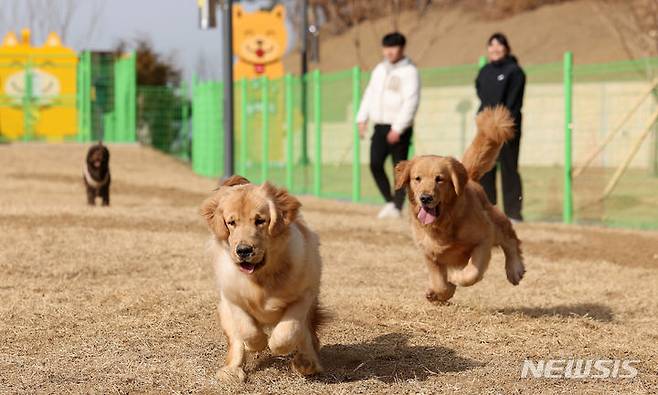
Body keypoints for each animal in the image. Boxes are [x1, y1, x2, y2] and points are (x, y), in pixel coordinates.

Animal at [199, 176, 324, 384]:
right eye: (231, 222)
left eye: (260, 221)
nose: (243, 250)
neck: (261, 278)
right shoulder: (232, 298)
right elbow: (247, 329)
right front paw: (256, 344)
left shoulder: (304, 294)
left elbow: (287, 331)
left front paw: (277, 345)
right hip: (224, 312)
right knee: (236, 342)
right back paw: (231, 371)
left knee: (307, 336)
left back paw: (306, 363)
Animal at [394, 106, 524, 304]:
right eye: (417, 179)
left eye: (439, 179)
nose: (425, 198)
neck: (444, 223)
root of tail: (469, 177)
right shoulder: (429, 253)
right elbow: (439, 282)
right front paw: (438, 293)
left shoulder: (484, 237)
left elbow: (472, 273)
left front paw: (456, 278)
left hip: (495, 222)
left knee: (511, 240)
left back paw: (515, 269)